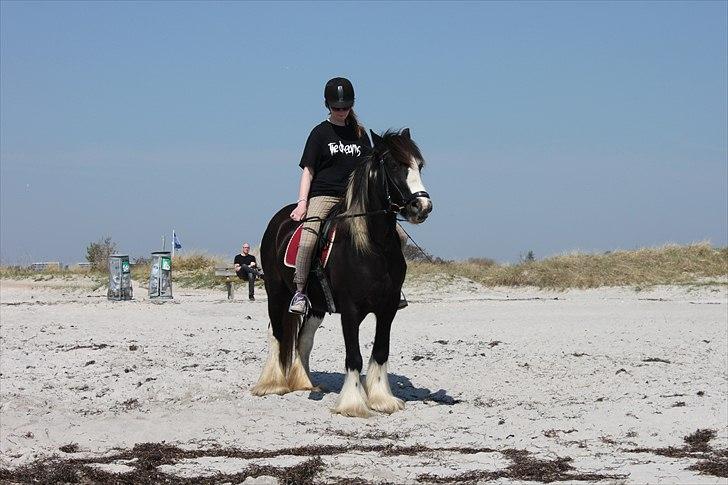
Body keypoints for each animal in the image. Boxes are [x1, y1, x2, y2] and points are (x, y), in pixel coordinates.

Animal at [252, 128, 433, 417]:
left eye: (419, 165)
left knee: (303, 338)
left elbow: (381, 351)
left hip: (316, 305)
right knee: (276, 333)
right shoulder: (350, 311)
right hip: (276, 293)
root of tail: (279, 221)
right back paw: (272, 383)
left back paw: (305, 382)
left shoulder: (388, 308)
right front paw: (353, 404)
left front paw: (382, 399)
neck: (372, 247)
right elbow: (354, 356)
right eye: (395, 165)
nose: (422, 207)